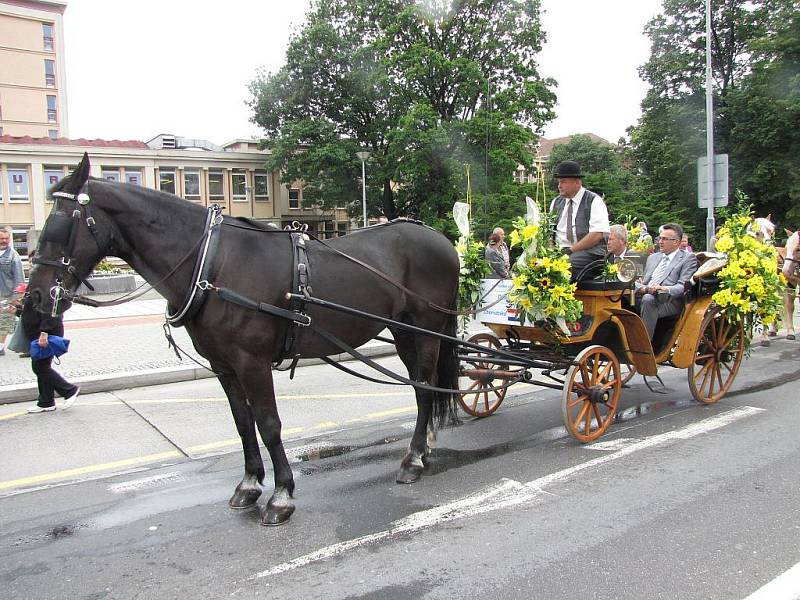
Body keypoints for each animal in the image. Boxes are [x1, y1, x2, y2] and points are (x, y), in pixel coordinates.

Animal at [26, 155, 462, 524]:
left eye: (62, 225)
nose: (33, 300)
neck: (212, 264)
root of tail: (440, 239)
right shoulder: (223, 365)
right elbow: (242, 422)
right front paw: (250, 484)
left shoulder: (252, 361)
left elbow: (268, 423)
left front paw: (281, 495)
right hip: (405, 331)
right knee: (421, 387)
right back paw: (422, 448)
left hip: (426, 328)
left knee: (425, 388)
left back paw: (413, 460)